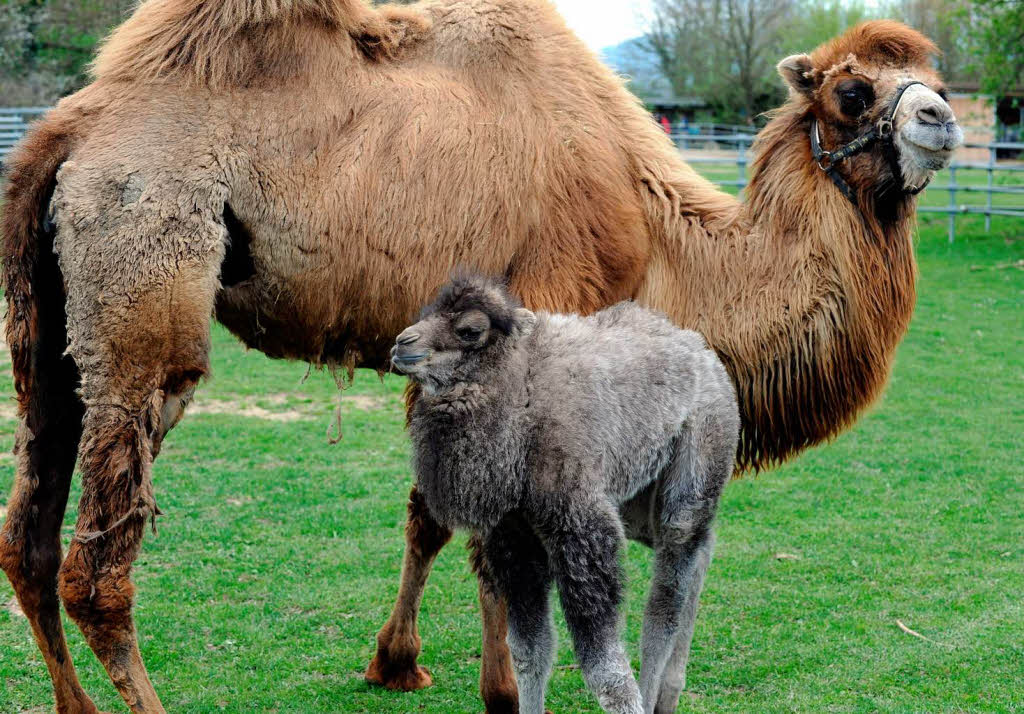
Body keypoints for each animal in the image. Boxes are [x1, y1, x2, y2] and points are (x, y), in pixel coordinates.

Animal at [389, 274, 737, 712]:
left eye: (469, 330)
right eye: (428, 312)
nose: (402, 343)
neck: (520, 403)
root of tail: (705, 356)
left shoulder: (580, 526)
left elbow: (604, 667)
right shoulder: (513, 534)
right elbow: (529, 651)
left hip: (699, 452)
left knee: (665, 600)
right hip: (639, 500)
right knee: (700, 549)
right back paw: (668, 695)